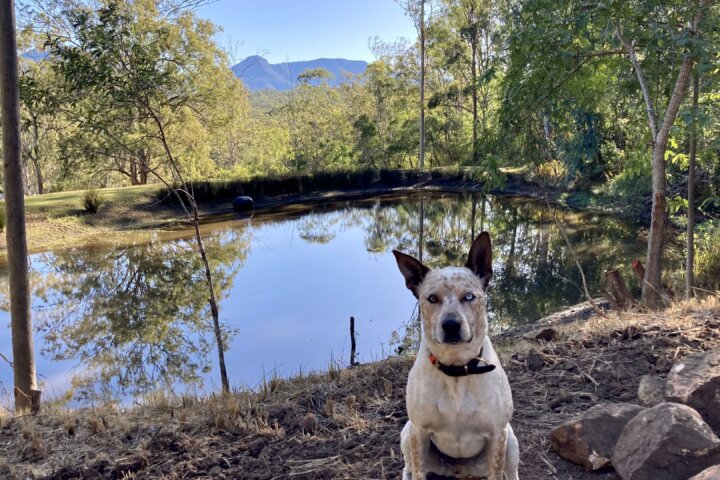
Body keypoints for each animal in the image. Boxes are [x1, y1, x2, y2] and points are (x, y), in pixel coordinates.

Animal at [394, 231, 516, 478]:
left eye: (469, 296)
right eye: (432, 298)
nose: (451, 325)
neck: (457, 369)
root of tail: (460, 471)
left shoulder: (498, 434)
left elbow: (496, 470)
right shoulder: (419, 431)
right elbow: (418, 471)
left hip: (512, 440)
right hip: (407, 433)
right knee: (408, 468)